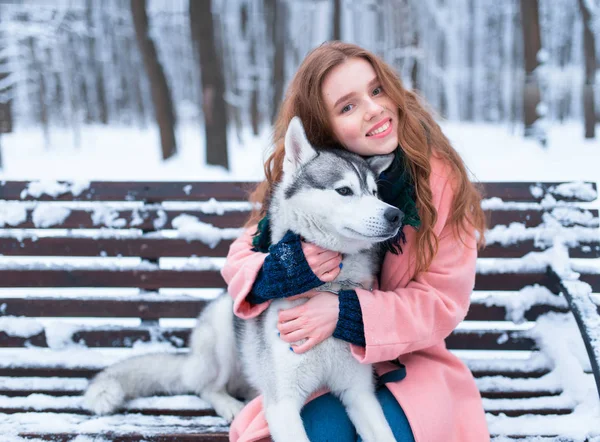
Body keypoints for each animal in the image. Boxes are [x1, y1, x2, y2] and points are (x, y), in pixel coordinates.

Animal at [84, 117, 404, 442]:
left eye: (375, 192)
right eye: (344, 190)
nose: (395, 215)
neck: (328, 288)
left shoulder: (360, 394)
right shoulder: (283, 402)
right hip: (225, 333)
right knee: (206, 387)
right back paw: (229, 404)